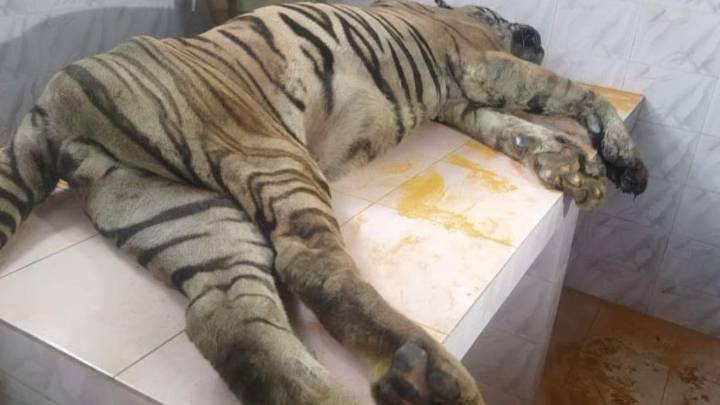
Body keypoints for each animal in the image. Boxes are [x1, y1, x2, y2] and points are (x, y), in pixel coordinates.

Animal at [0, 0, 648, 404]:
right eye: (502, 15)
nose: (536, 35)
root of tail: (44, 113)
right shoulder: (478, 63)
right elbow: (571, 93)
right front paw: (622, 161)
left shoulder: (461, 98)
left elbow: (519, 129)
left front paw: (578, 170)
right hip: (275, 155)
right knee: (310, 265)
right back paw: (437, 379)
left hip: (191, 217)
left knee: (232, 321)